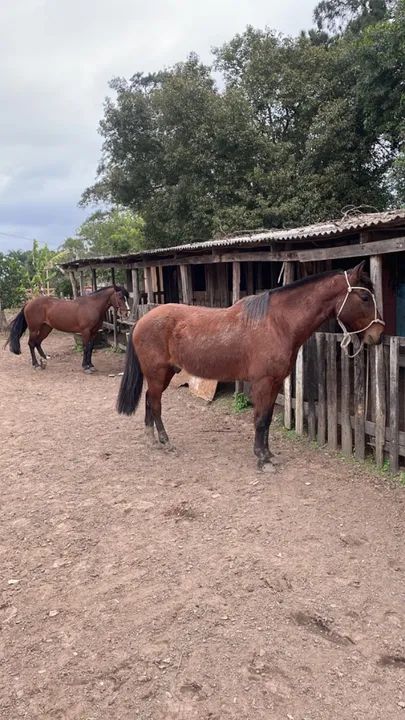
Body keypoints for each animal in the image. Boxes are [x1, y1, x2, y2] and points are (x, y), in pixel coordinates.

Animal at [117, 262, 384, 469]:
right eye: (364, 297)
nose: (378, 334)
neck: (277, 323)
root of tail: (143, 320)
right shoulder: (263, 383)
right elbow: (260, 420)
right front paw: (262, 460)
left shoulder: (274, 383)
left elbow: (266, 419)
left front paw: (268, 455)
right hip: (157, 373)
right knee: (155, 403)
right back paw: (165, 441)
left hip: (164, 374)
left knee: (150, 401)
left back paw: (152, 440)